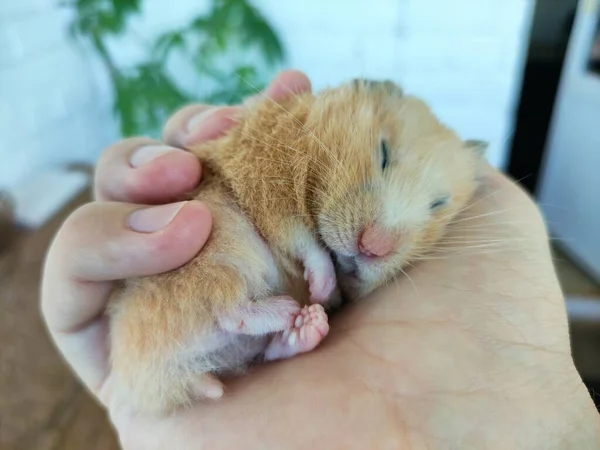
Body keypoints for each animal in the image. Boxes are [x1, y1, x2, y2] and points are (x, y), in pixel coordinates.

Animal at [108, 79, 488, 414]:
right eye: (383, 153)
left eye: (438, 204)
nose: (373, 248)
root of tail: (138, 379)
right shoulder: (266, 184)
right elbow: (306, 243)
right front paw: (322, 286)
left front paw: (325, 293)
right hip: (221, 244)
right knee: (226, 308)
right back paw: (289, 309)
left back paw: (305, 325)